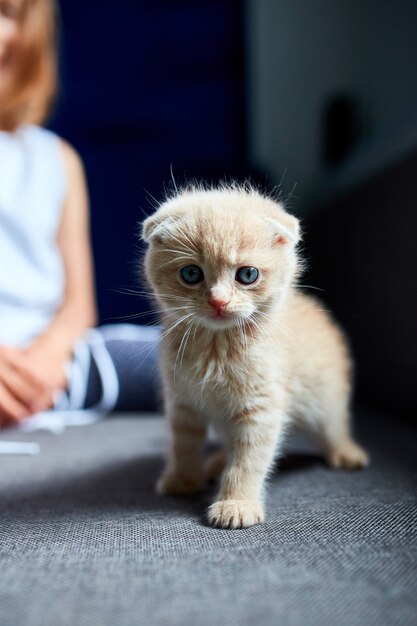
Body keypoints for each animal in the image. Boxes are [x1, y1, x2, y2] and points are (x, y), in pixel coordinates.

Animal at [142, 184, 368, 528]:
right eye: (191, 273)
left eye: (247, 275)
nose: (219, 301)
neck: (216, 346)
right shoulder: (182, 401)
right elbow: (183, 442)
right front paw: (183, 478)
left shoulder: (261, 407)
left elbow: (248, 459)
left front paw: (236, 503)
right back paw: (216, 462)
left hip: (326, 397)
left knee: (334, 426)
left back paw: (346, 452)